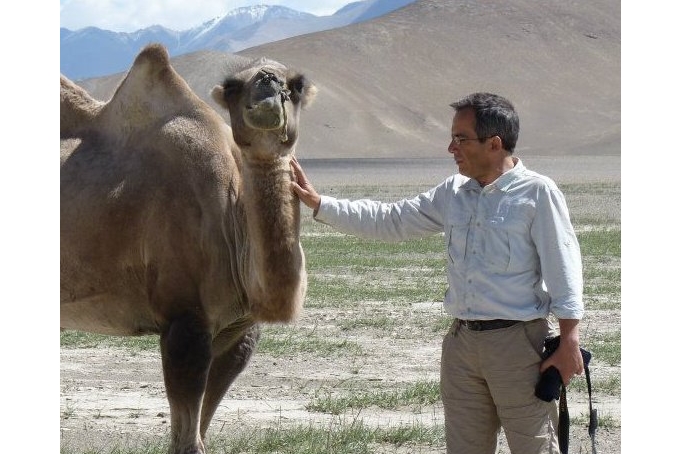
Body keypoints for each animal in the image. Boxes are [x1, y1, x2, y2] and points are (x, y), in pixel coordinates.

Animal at [60, 43, 316, 454]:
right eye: (232, 86)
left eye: (296, 84)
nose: (267, 83)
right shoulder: (184, 319)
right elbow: (187, 441)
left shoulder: (239, 331)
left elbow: (201, 429)